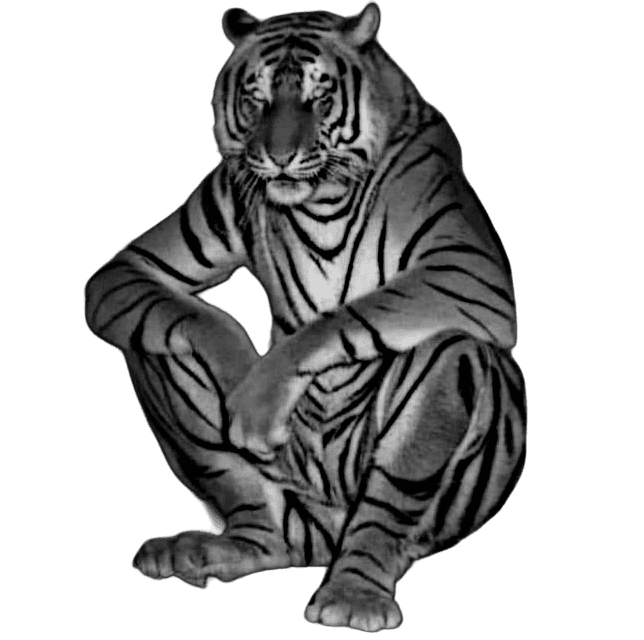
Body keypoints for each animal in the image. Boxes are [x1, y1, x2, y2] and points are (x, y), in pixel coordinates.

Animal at [84, 1, 527, 632]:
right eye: (257, 98)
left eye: (320, 98)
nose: (279, 156)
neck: (321, 202)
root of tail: (323, 536)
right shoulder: (146, 259)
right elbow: (195, 314)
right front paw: (239, 384)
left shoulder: (468, 269)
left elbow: (350, 315)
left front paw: (255, 398)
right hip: (254, 467)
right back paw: (214, 548)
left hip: (434, 409)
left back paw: (354, 594)